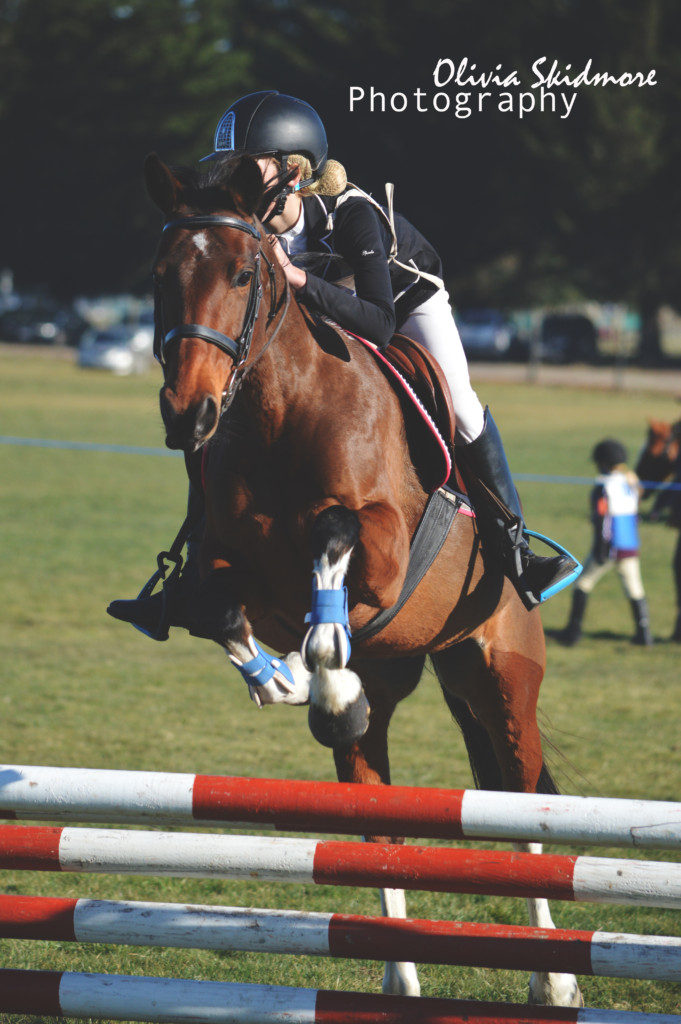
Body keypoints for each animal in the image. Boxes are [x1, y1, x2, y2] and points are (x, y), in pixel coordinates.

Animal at [140, 153, 581, 1007]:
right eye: (159, 275)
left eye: (243, 274)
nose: (188, 416)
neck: (279, 411)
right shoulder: (225, 563)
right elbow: (215, 607)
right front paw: (283, 680)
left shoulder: (385, 542)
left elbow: (336, 537)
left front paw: (318, 667)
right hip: (405, 681)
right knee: (380, 824)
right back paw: (398, 974)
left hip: (500, 675)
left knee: (524, 809)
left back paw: (553, 981)